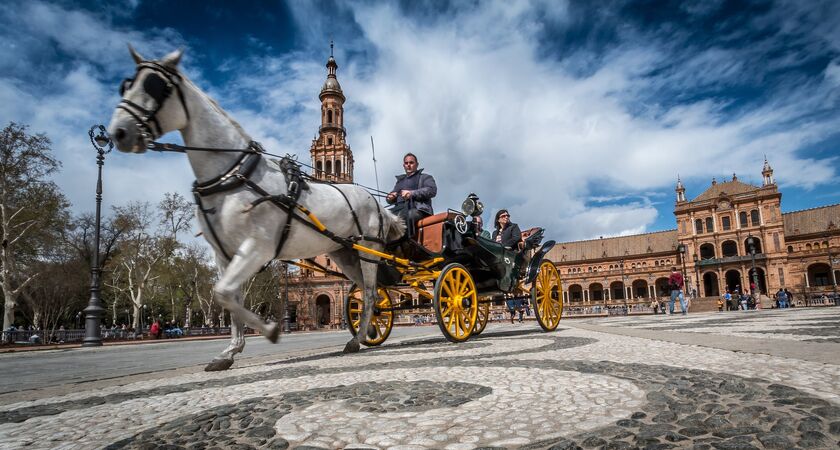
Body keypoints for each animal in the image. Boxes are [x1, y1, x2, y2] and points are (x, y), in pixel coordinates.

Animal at [107, 47, 404, 370]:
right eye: (126, 85)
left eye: (154, 86)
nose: (118, 132)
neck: (233, 174)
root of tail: (376, 203)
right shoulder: (225, 255)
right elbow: (229, 297)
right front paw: (230, 350)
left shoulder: (257, 247)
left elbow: (225, 293)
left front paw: (270, 330)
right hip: (346, 253)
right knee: (368, 293)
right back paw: (368, 332)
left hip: (367, 249)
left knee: (371, 292)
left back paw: (357, 338)